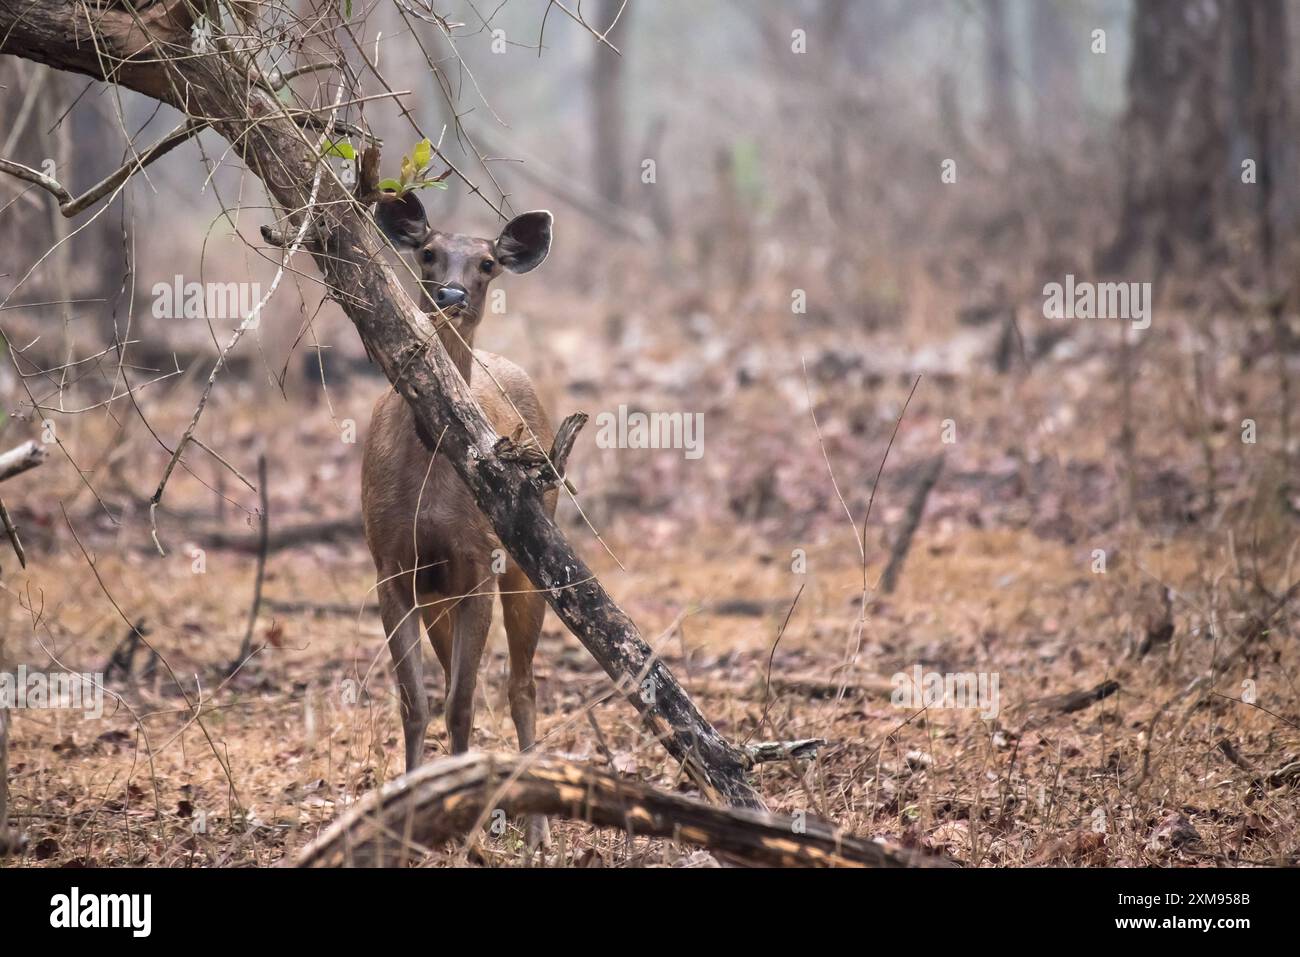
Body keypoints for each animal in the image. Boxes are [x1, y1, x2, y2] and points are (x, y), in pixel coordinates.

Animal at [362, 190, 557, 849]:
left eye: (488, 264)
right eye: (427, 251)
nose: (450, 293)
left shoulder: (476, 564)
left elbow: (462, 702)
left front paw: (465, 828)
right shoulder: (390, 566)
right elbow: (416, 703)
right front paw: (408, 820)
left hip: (526, 558)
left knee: (521, 684)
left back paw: (537, 830)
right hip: (439, 591)